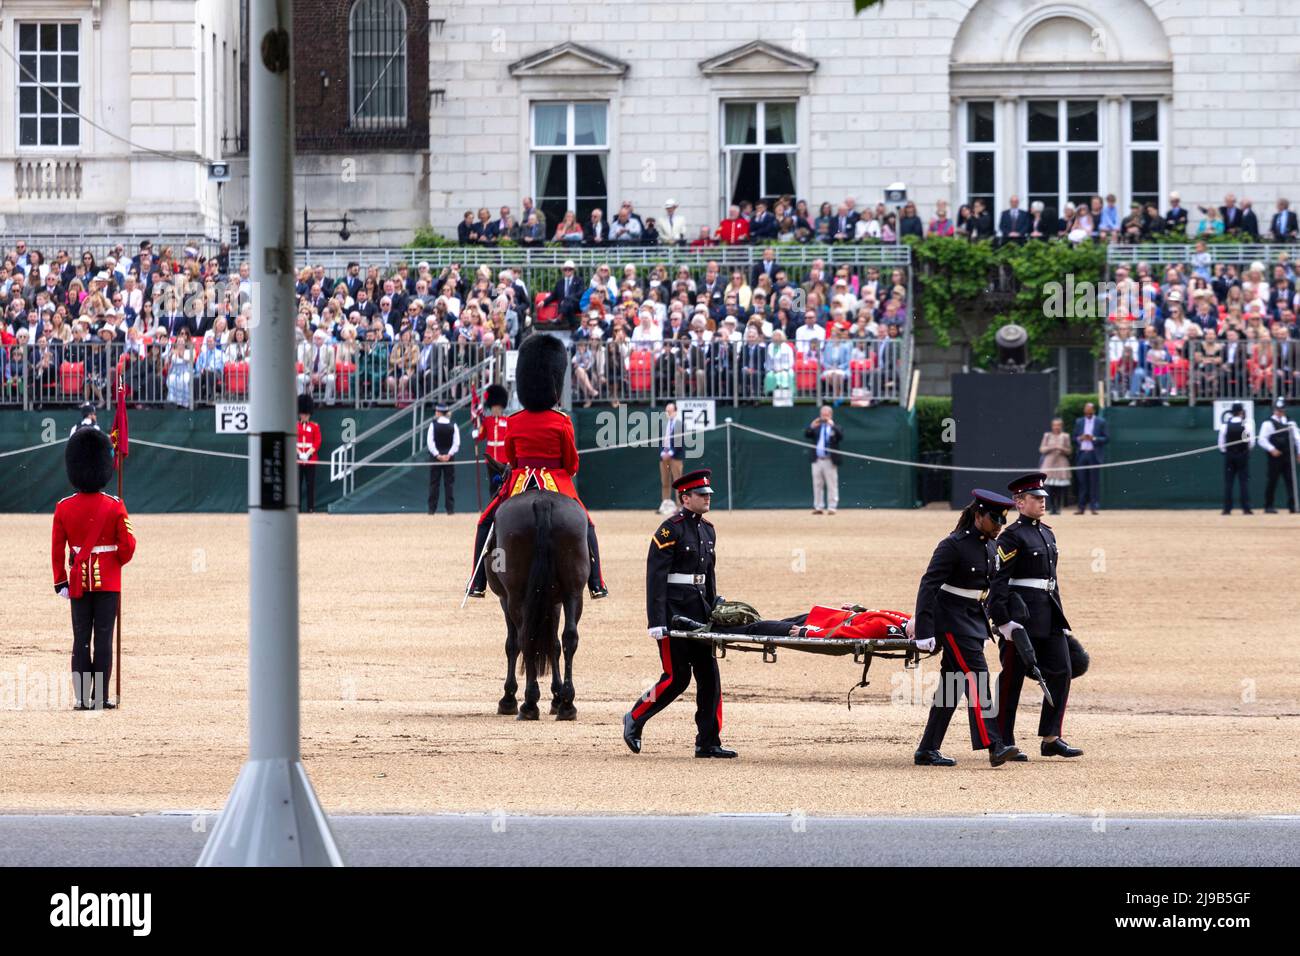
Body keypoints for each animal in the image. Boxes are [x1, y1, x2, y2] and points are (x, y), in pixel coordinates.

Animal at [488, 489, 590, 723]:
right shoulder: (555, 602)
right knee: (570, 637)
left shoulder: (505, 598)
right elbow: (554, 644)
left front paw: (508, 698)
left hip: (516, 597)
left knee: (525, 637)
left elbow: (512, 644)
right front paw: (557, 698)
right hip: (574, 593)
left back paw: (529, 704)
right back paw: (567, 705)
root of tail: (542, 501)